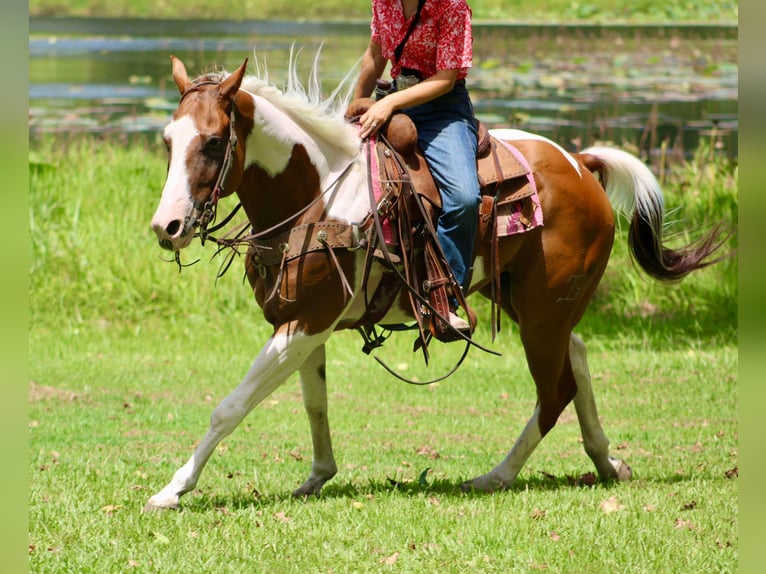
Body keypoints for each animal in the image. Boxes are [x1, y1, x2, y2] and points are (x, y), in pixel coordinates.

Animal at [145, 55, 726, 512]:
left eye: (214, 142)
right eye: (168, 140)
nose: (166, 227)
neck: (318, 196)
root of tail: (580, 163)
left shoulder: (305, 323)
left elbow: (230, 407)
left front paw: (173, 490)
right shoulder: (302, 325)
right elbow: (315, 403)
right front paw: (318, 476)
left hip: (542, 313)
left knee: (555, 389)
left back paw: (495, 477)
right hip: (529, 302)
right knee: (578, 357)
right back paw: (606, 461)